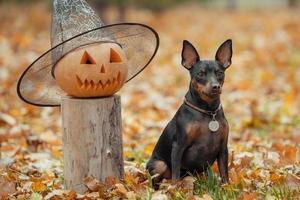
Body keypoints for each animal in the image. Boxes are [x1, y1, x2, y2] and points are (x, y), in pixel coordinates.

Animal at [147, 39, 232, 188]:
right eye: (200, 74)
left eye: (220, 73)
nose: (215, 86)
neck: (208, 112)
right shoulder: (178, 147)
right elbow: (175, 175)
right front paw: (175, 190)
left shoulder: (223, 149)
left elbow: (224, 174)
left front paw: (226, 189)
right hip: (159, 165)